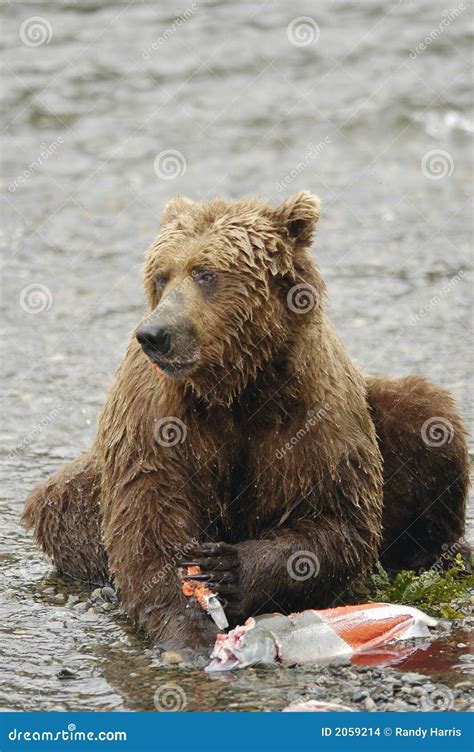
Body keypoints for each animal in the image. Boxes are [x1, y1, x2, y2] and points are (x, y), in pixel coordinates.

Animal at [23, 189, 470, 652]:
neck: (235, 385)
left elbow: (335, 516)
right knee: (59, 500)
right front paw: (189, 629)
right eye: (161, 275)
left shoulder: (312, 408)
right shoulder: (155, 418)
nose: (155, 334)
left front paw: (229, 569)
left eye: (205, 273)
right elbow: (149, 522)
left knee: (428, 414)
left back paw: (444, 553)